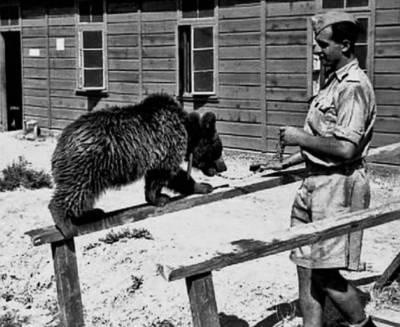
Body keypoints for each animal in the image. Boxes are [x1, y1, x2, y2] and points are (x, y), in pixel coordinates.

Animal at [48, 92, 227, 238]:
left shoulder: (157, 152)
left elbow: (165, 177)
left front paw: (201, 186)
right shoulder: (167, 146)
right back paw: (65, 223)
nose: (223, 167)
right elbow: (167, 174)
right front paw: (162, 197)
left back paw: (91, 213)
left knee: (86, 194)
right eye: (218, 150)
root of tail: (61, 143)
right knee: (76, 189)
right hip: (88, 163)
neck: (187, 131)